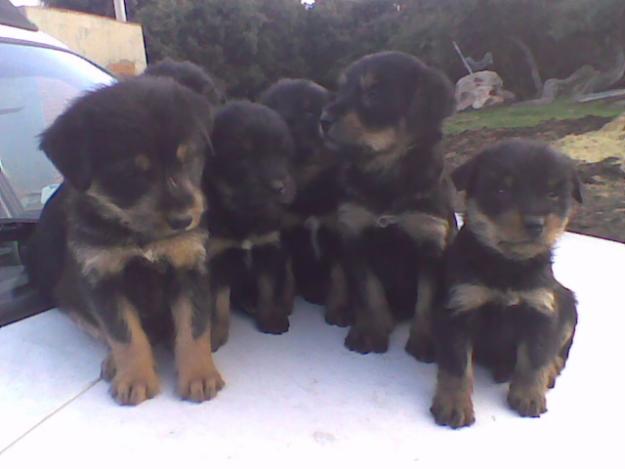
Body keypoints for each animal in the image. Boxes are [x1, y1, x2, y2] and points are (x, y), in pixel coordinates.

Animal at [26, 75, 223, 404]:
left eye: (188, 159)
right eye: (132, 172)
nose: (185, 220)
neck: (138, 234)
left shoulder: (189, 267)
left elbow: (194, 328)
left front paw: (199, 375)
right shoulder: (102, 279)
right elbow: (124, 334)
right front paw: (135, 379)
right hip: (72, 302)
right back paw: (114, 364)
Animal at [202, 101, 294, 340]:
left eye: (283, 154)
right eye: (243, 157)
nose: (279, 187)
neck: (245, 216)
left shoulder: (269, 250)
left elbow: (267, 290)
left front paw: (270, 319)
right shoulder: (217, 258)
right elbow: (218, 304)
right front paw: (216, 335)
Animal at [258, 78, 346, 320]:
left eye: (308, 111)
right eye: (273, 106)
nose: (281, 120)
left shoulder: (337, 232)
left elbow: (339, 276)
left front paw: (338, 311)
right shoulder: (286, 234)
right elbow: (286, 276)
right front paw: (283, 307)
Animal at [320, 50, 456, 354]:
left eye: (374, 92)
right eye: (341, 90)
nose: (323, 120)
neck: (386, 177)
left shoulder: (431, 240)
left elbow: (427, 297)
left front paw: (425, 341)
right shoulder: (354, 233)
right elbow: (368, 291)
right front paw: (370, 332)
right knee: (338, 273)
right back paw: (340, 309)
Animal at [432, 140, 576, 428]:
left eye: (553, 194)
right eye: (501, 190)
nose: (535, 223)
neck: (507, 265)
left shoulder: (541, 309)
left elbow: (534, 358)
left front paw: (529, 395)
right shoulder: (459, 308)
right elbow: (456, 366)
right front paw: (454, 405)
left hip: (568, 303)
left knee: (560, 347)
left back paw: (551, 370)